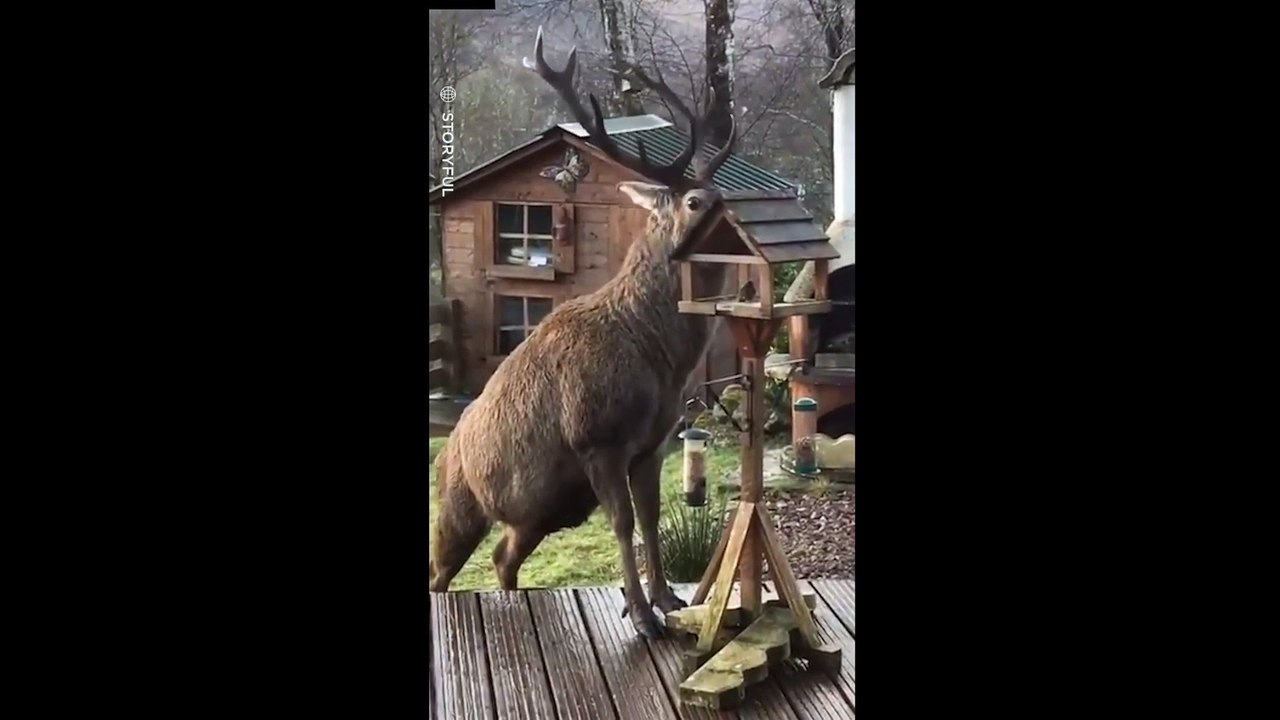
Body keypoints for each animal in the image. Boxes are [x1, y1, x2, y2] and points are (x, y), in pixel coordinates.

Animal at [429, 27, 737, 639]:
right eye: (695, 202)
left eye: (725, 197)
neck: (658, 359)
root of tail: (445, 451)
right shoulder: (598, 437)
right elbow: (622, 523)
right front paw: (640, 615)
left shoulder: (653, 442)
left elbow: (651, 517)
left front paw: (668, 600)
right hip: (456, 506)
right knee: (440, 572)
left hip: (535, 516)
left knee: (502, 557)